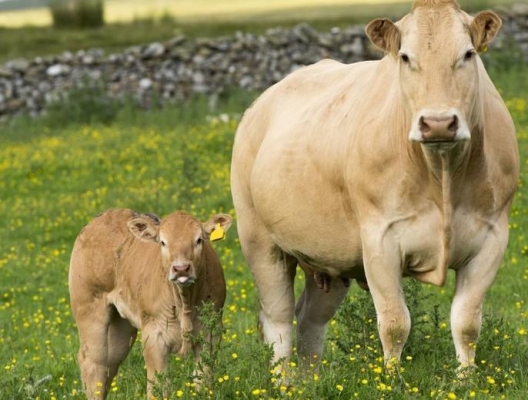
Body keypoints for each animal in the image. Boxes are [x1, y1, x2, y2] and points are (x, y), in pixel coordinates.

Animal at [67, 208, 231, 398]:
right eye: (163, 242)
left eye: (198, 240)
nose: (181, 269)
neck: (184, 303)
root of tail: (106, 215)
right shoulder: (154, 336)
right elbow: (158, 387)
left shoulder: (210, 332)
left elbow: (203, 382)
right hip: (89, 310)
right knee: (94, 365)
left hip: (121, 327)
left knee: (110, 363)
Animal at [232, 0, 520, 374]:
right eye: (406, 57)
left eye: (468, 54)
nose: (438, 123)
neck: (441, 172)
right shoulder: (380, 240)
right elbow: (395, 323)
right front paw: (392, 379)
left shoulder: (491, 237)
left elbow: (467, 323)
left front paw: (465, 379)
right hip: (258, 238)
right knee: (279, 322)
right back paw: (283, 380)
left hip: (326, 257)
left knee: (310, 320)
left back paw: (309, 380)